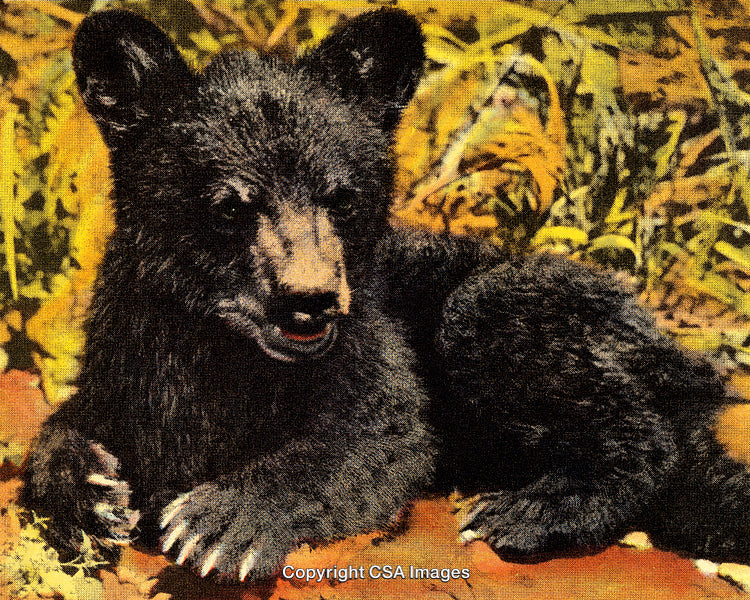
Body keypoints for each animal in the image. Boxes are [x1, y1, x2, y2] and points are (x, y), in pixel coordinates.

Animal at [19, 5, 750, 585]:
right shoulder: (133, 358)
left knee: (641, 430)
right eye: (230, 206)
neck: (225, 351)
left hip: (509, 307)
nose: (310, 301)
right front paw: (93, 492)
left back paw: (525, 510)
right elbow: (69, 426)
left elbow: (372, 435)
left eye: (341, 198)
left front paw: (221, 520)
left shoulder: (376, 352)